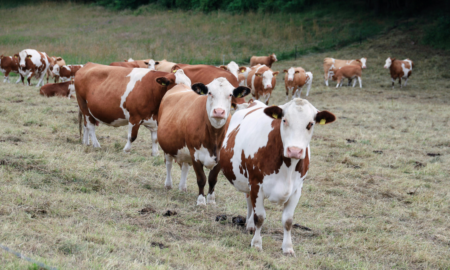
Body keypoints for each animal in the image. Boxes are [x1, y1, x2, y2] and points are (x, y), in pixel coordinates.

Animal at [157, 77, 250, 205]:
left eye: (230, 94)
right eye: (209, 93)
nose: (219, 111)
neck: (214, 137)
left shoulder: (220, 158)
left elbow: (212, 179)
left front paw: (211, 200)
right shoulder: (195, 155)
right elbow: (201, 179)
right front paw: (201, 201)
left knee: (185, 166)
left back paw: (182, 187)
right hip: (168, 146)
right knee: (169, 163)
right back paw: (168, 184)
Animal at [220, 99, 336, 255]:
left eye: (311, 124)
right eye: (284, 120)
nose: (294, 150)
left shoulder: (297, 189)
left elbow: (288, 220)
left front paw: (287, 247)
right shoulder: (256, 184)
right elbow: (259, 217)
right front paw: (257, 244)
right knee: (249, 202)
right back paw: (250, 225)